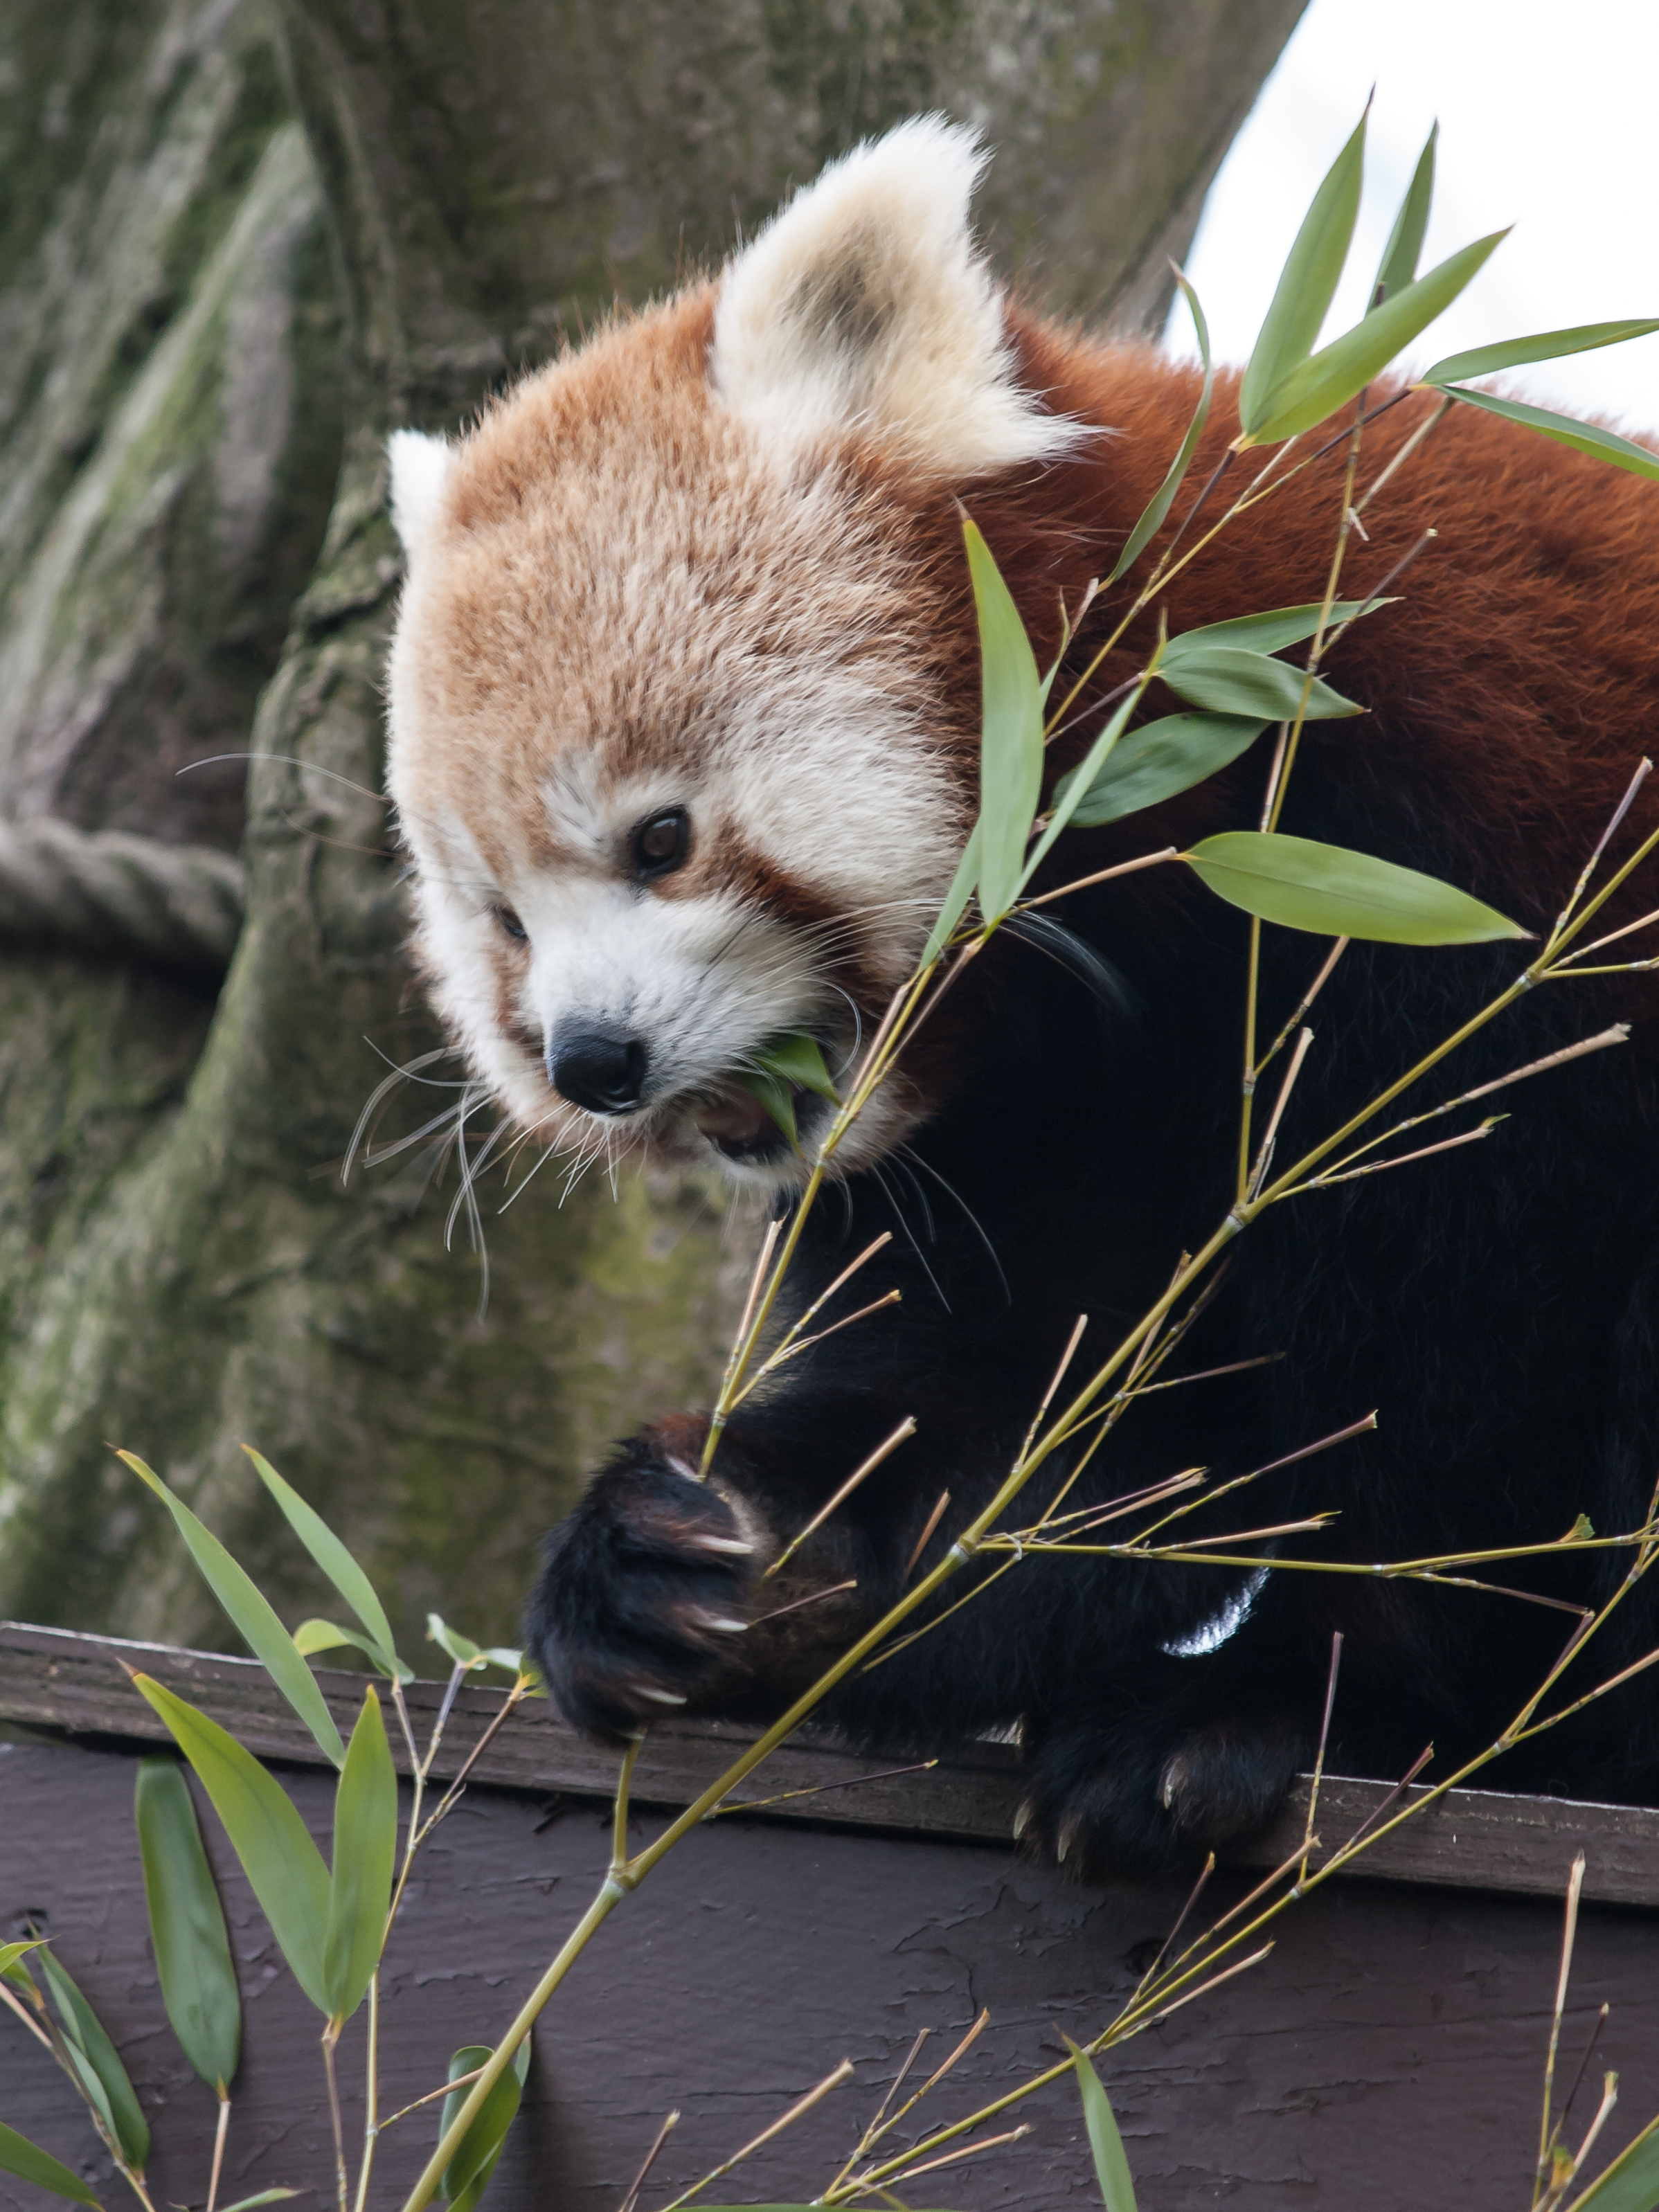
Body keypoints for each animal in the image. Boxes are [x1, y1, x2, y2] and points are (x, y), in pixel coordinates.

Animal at [382, 120, 1659, 1876]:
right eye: (503, 924)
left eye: (660, 836)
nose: (592, 1061)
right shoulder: (1027, 1134)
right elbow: (1031, 1396)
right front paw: (713, 1554)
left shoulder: (1471, 902)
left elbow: (1452, 1381)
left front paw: (1259, 1701)